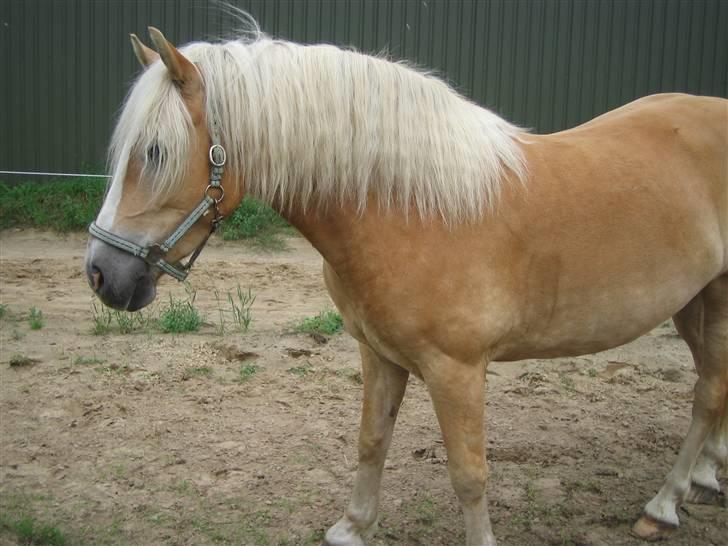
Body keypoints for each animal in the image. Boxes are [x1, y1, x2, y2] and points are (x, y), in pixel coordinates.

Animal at [86, 28, 728, 544]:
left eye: (155, 152)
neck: (413, 211)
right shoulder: (379, 353)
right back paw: (704, 477)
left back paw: (663, 504)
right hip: (693, 303)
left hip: (717, 299)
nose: (101, 274)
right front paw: (352, 527)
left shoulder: (457, 371)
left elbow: (469, 474)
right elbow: (372, 440)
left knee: (707, 395)